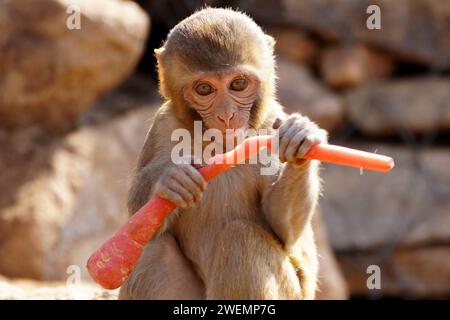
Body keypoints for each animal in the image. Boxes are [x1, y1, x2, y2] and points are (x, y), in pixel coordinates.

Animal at [118, 6, 326, 300]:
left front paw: (300, 141)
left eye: (238, 84)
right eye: (204, 89)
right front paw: (171, 181)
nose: (226, 116)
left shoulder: (270, 123)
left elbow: (283, 228)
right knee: (152, 249)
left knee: (241, 239)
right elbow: (139, 223)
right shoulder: (163, 125)